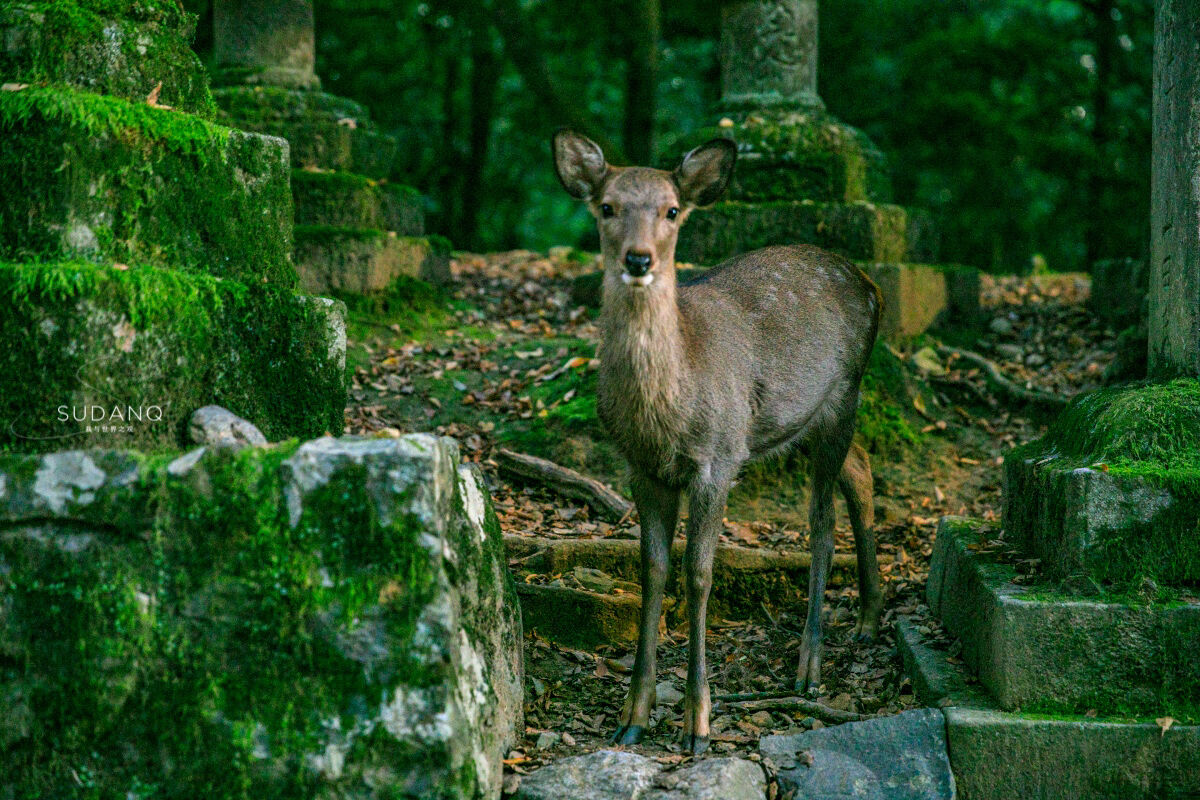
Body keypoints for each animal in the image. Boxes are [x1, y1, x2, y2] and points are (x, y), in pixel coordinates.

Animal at [549, 128, 883, 753]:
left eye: (672, 210)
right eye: (606, 207)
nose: (639, 258)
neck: (666, 413)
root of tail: (871, 283)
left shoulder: (719, 458)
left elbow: (699, 574)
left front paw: (698, 724)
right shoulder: (641, 468)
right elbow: (653, 571)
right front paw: (632, 715)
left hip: (842, 395)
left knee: (822, 521)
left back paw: (809, 667)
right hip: (799, 419)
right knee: (863, 467)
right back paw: (871, 616)